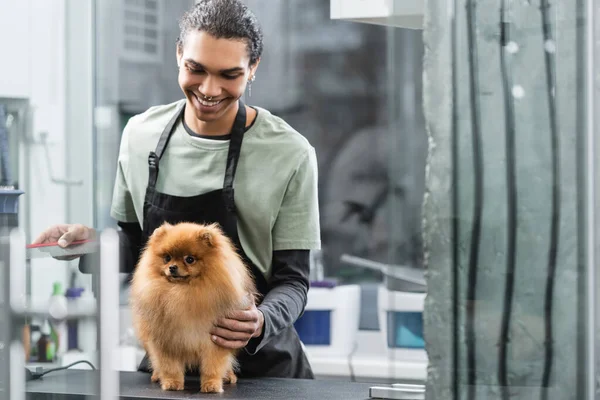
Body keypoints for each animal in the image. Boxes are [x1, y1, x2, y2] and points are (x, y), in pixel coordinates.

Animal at [130, 222, 256, 394]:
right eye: (167, 257)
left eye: (190, 259)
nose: (172, 267)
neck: (182, 293)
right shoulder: (167, 340)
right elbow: (169, 366)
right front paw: (172, 383)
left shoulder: (215, 340)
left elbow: (213, 366)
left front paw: (212, 385)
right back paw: (157, 376)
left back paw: (228, 376)